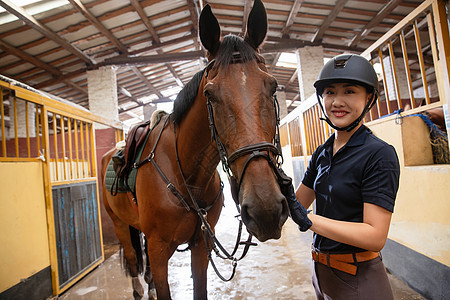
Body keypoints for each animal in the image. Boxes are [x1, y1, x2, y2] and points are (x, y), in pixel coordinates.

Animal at [99, 1, 288, 298]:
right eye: (210, 94)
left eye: (273, 87)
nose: (265, 209)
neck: (187, 174)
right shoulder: (159, 250)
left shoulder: (201, 245)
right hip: (119, 225)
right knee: (131, 257)